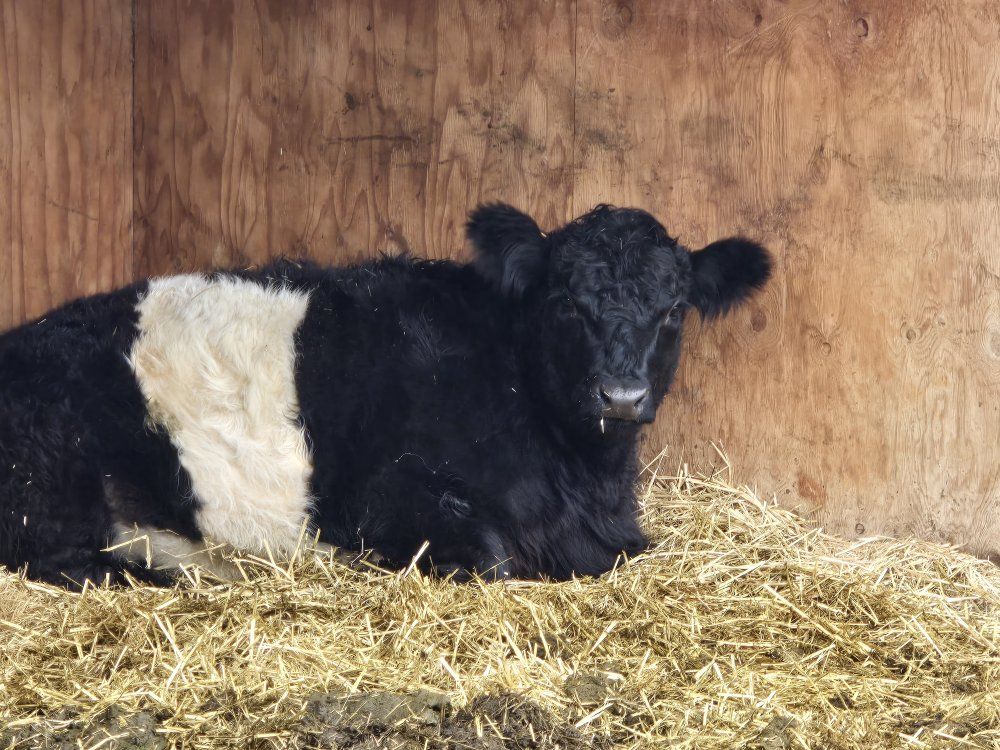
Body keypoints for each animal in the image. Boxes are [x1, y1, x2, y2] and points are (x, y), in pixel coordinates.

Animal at [0, 203, 771, 588]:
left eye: (673, 311)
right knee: (62, 559)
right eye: (566, 303)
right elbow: (493, 561)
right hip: (50, 477)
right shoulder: (392, 501)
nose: (620, 395)